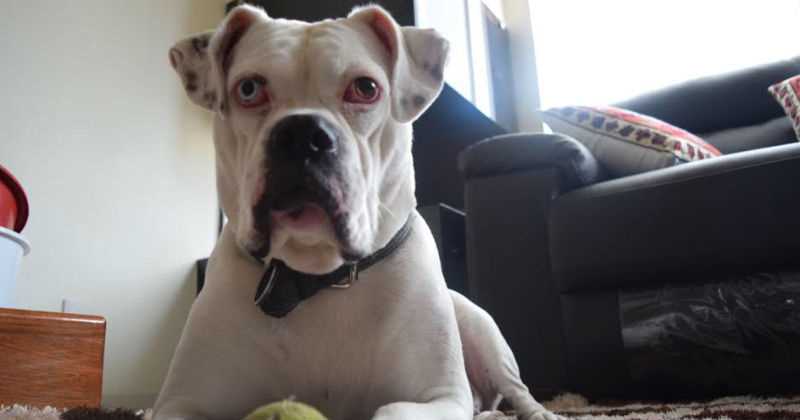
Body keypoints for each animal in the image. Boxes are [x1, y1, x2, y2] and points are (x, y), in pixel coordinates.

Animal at [156, 5, 561, 420]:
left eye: (365, 88)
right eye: (248, 89)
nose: (301, 134)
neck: (316, 277)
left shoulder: (440, 396)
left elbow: (391, 410)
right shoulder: (179, 402)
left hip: (481, 328)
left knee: (516, 390)